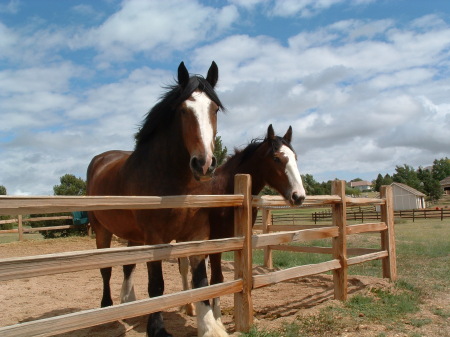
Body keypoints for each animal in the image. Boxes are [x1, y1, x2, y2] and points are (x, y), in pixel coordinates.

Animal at [86, 61, 227, 336]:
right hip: (102, 231)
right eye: (183, 110)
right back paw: (107, 311)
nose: (204, 164)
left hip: (131, 235)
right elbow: (157, 285)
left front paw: (209, 327)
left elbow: (201, 282)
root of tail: (101, 159)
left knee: (128, 266)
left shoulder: (197, 236)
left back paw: (129, 304)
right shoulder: (155, 238)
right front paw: (157, 328)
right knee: (106, 270)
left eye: (214, 109)